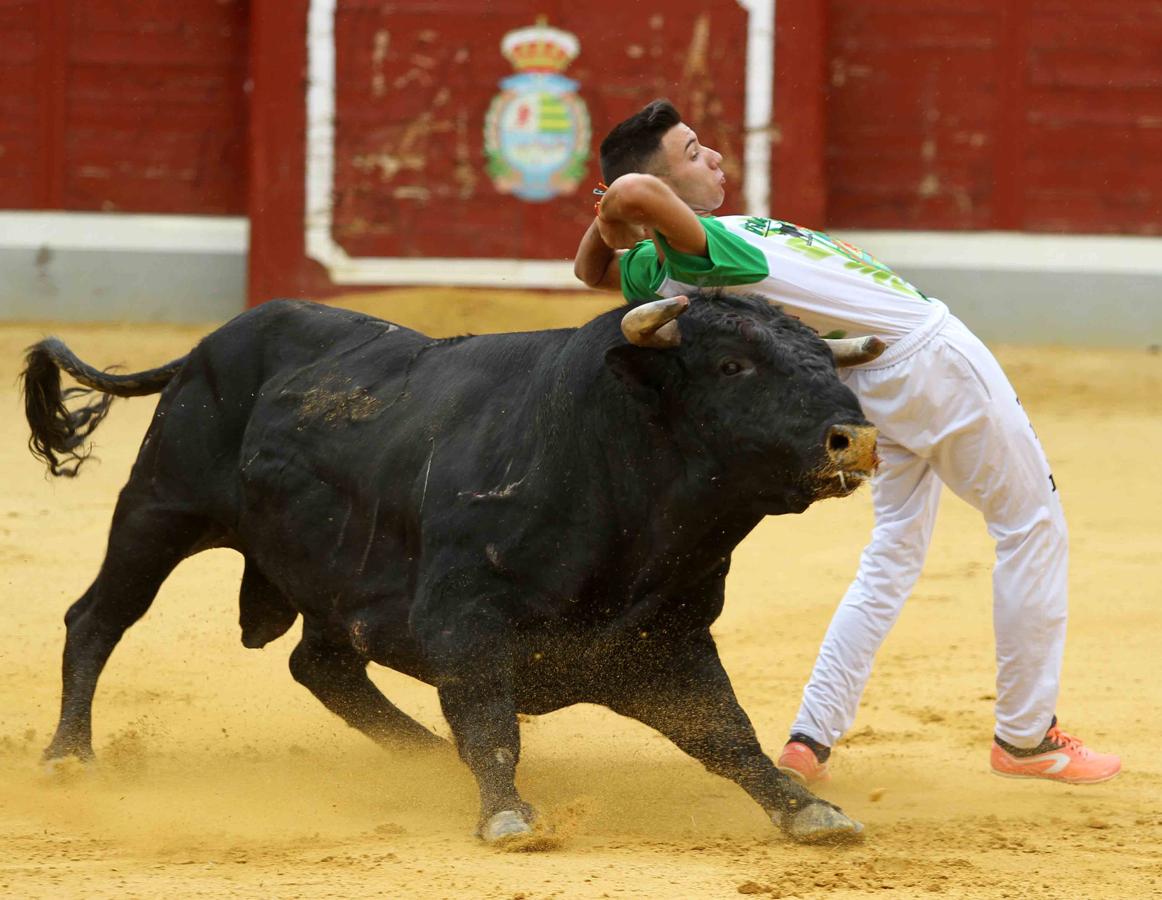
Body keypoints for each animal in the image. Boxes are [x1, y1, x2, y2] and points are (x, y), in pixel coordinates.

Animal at [20, 293, 878, 845]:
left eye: (821, 358)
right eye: (732, 365)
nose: (857, 438)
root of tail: (204, 348)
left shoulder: (666, 638)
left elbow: (726, 733)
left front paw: (807, 810)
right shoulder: (465, 618)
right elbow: (491, 722)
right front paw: (508, 817)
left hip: (327, 581)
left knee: (320, 665)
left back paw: (426, 759)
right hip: (159, 510)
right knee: (96, 618)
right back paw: (67, 758)